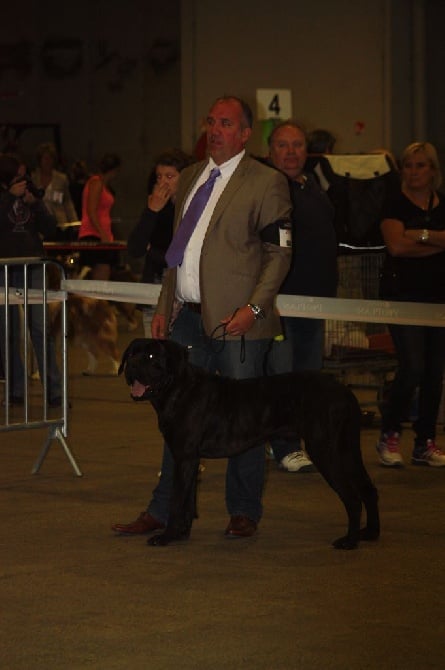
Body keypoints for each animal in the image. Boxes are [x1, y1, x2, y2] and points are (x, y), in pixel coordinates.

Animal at [118, 342, 378, 552]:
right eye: (131, 354)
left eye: (151, 356)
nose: (132, 364)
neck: (178, 389)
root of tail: (345, 391)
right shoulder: (190, 459)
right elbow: (188, 500)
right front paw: (181, 534)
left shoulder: (184, 458)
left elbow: (176, 500)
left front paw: (166, 537)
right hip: (347, 450)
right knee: (368, 489)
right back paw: (370, 534)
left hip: (325, 451)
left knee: (352, 498)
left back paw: (349, 542)